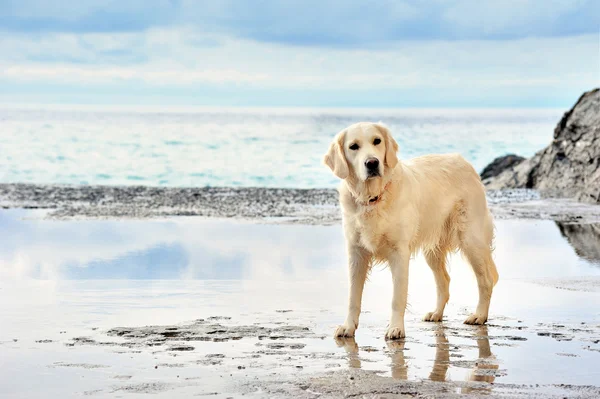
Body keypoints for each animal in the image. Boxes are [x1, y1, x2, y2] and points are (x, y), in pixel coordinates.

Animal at [324, 122, 496, 340]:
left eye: (377, 141)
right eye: (353, 146)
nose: (372, 163)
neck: (373, 198)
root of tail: (463, 161)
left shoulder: (399, 252)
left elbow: (397, 297)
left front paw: (396, 328)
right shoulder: (356, 253)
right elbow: (353, 297)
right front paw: (348, 327)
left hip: (471, 239)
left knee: (486, 281)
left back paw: (479, 315)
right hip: (433, 250)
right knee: (444, 281)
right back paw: (436, 313)